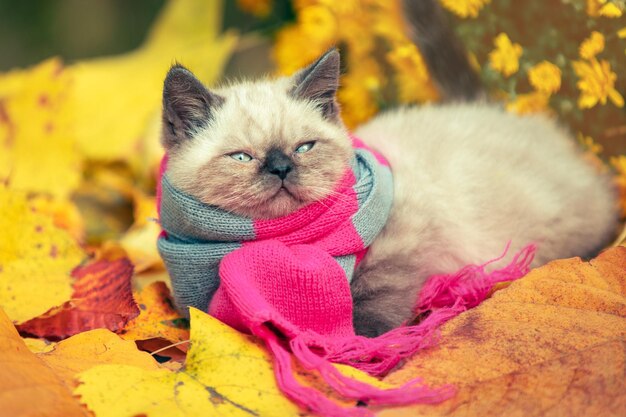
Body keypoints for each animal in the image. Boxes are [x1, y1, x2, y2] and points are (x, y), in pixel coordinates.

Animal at [158, 0, 616, 336]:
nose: (282, 168)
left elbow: (374, 299)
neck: (281, 245)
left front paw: (354, 344)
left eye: (305, 147)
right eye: (242, 158)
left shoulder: (407, 239)